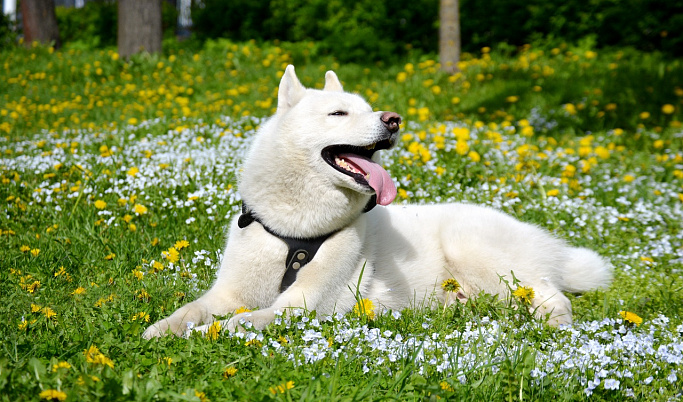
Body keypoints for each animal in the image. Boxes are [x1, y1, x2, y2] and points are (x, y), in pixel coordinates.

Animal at [142, 66, 612, 340]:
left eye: (370, 109)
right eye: (338, 114)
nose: (394, 120)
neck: (296, 231)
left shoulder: (305, 304)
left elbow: (242, 321)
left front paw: (204, 335)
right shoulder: (228, 292)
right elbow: (192, 309)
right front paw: (160, 329)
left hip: (478, 252)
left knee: (555, 297)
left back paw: (553, 325)